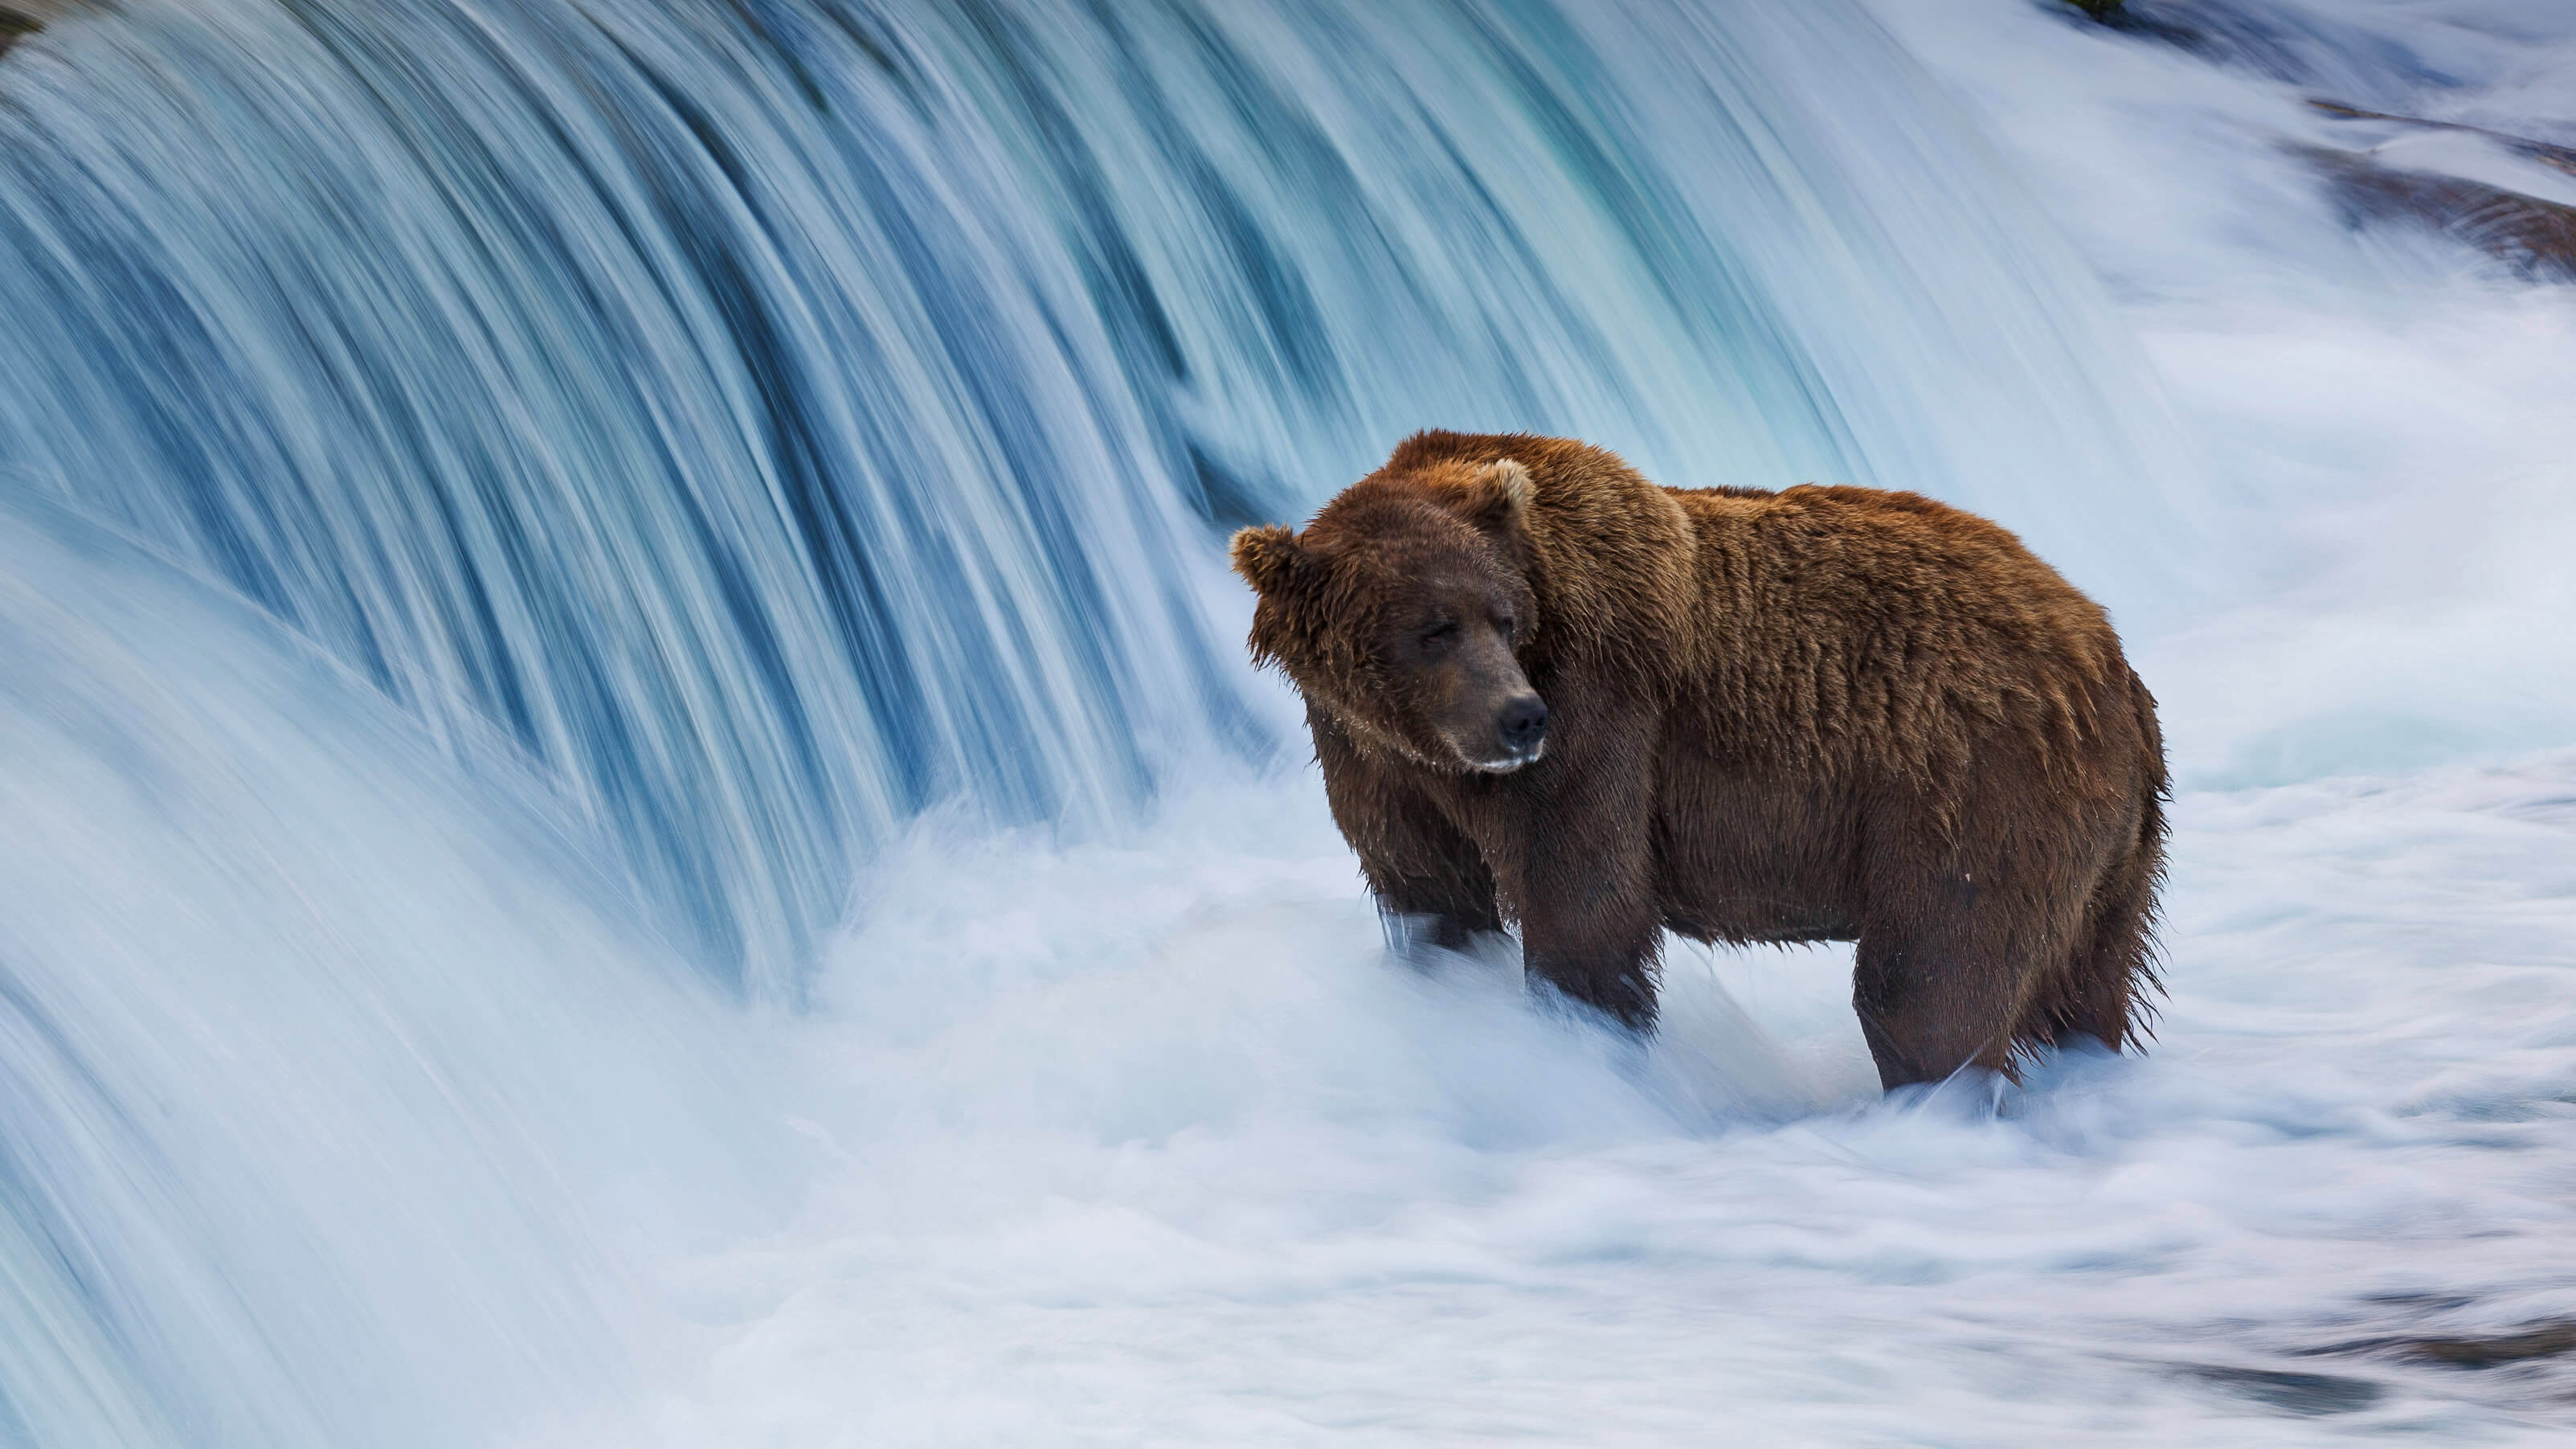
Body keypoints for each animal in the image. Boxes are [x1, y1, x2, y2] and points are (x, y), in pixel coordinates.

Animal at [1229, 430, 2167, 1090]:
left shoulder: (1603, 714)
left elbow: (1585, 906)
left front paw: (1583, 1045)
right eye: (1433, 629)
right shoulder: (1377, 767)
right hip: (2104, 849)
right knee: (2082, 984)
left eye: (1501, 616)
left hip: (1974, 787)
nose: (1519, 718)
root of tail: (2108, 651)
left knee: (1928, 984)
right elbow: (1432, 902)